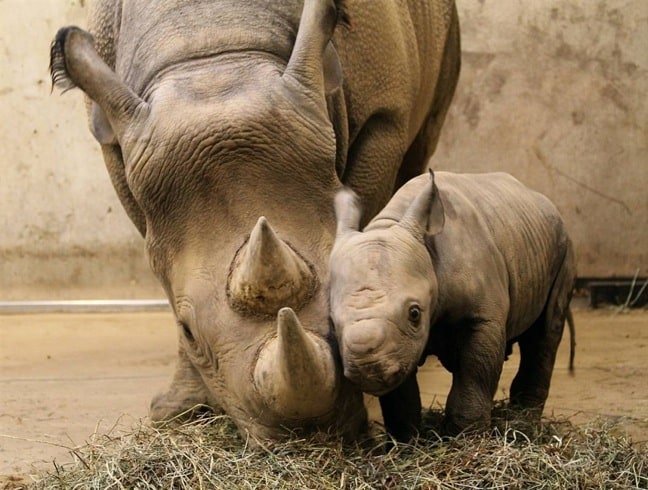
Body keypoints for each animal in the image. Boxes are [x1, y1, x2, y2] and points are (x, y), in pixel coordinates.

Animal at [48, 0, 458, 440]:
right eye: (188, 330)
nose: (306, 434)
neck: (212, 49)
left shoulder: (384, 118)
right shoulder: (118, 148)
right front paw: (180, 412)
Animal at [332, 169, 576, 440]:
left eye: (414, 313)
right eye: (332, 323)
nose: (367, 368)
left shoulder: (482, 318)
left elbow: (475, 373)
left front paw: (466, 437)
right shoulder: (399, 346)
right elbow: (400, 394)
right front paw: (405, 441)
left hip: (563, 245)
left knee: (545, 332)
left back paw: (524, 424)